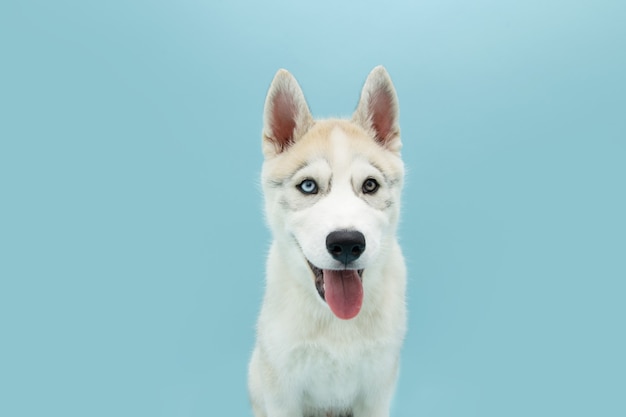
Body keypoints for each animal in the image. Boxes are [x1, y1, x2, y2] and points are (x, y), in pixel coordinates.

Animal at [246, 66, 408, 414]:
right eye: (308, 186)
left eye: (370, 185)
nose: (347, 243)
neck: (337, 321)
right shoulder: (282, 393)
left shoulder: (376, 392)